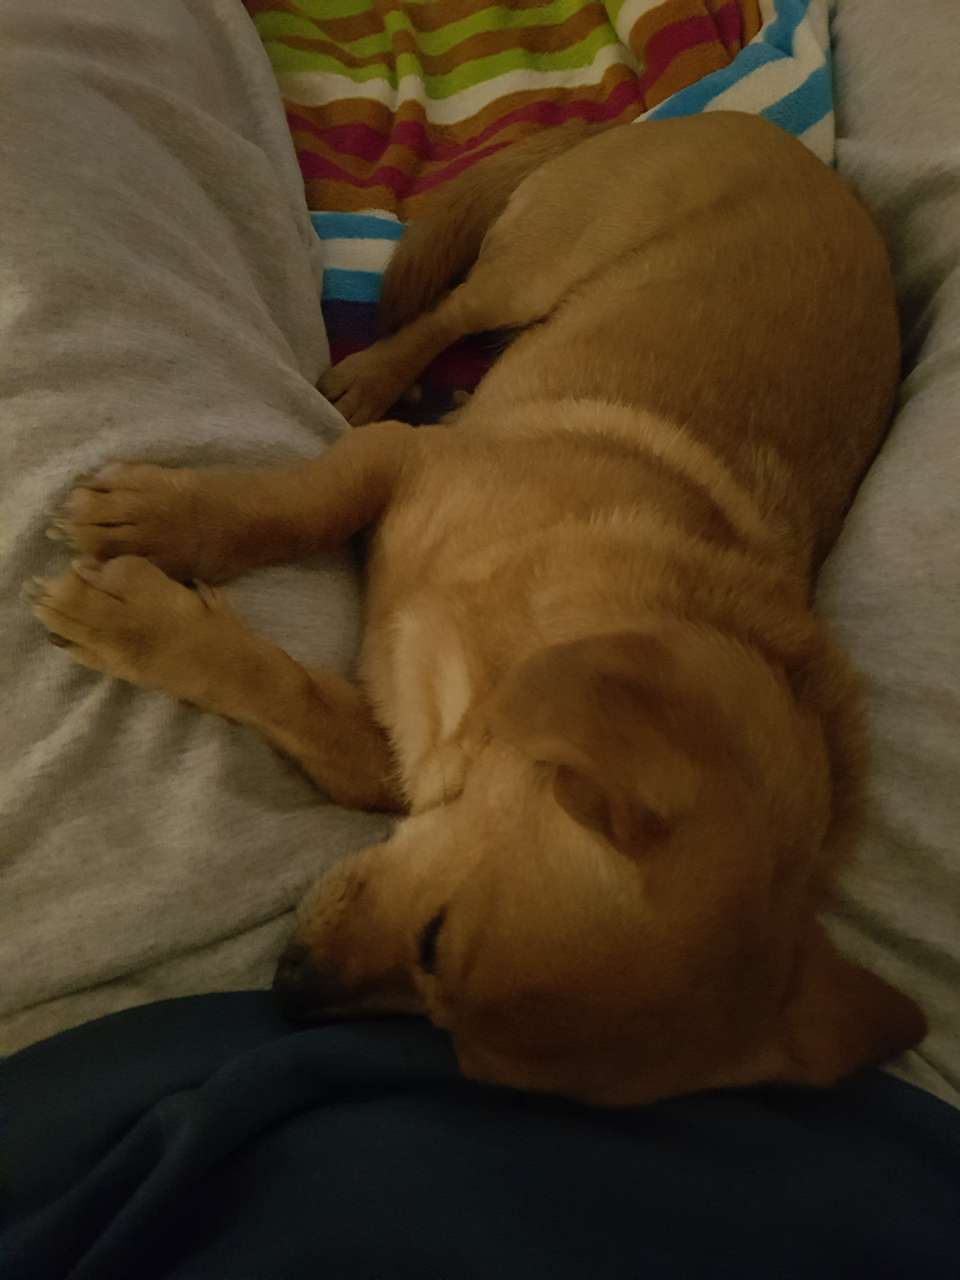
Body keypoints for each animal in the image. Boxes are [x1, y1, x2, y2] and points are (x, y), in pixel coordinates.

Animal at [31, 112, 926, 1106]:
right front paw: (161, 533)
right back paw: (376, 375)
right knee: (453, 312)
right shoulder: (402, 461)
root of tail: (763, 135)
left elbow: (289, 696)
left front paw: (148, 624)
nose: (289, 997)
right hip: (538, 264)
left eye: (453, 1040)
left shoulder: (390, 751)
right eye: (437, 939)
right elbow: (292, 510)